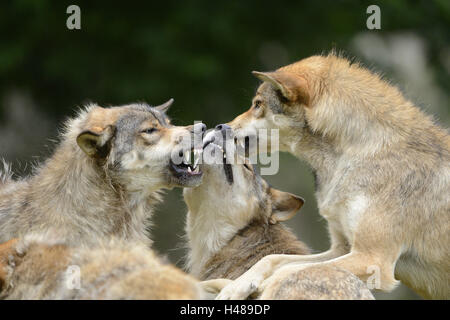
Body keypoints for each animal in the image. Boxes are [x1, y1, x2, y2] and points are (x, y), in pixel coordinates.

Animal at [215, 53, 450, 298]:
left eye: (257, 104)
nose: (221, 126)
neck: (361, 153)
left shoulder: (372, 259)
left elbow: (286, 271)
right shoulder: (340, 248)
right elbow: (272, 259)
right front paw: (235, 287)